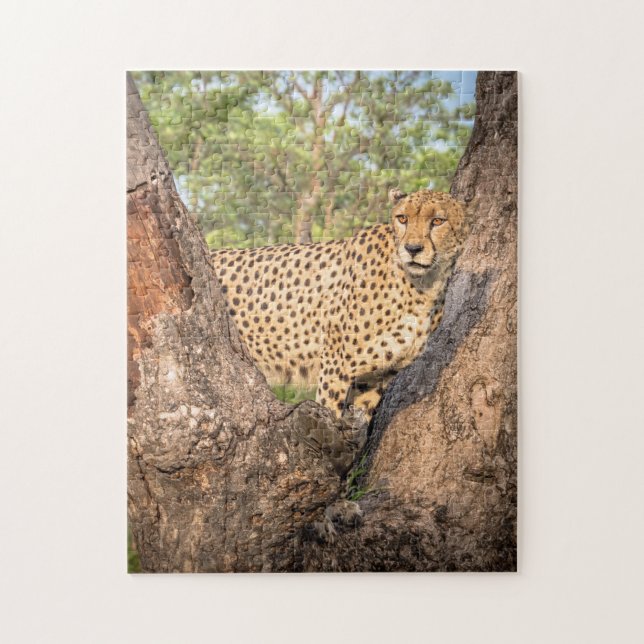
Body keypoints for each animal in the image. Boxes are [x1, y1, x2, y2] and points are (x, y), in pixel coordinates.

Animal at [211, 188, 469, 420]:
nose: (412, 249)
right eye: (402, 218)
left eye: (437, 221)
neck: (423, 285)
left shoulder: (376, 377)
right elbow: (330, 412)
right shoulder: (336, 366)